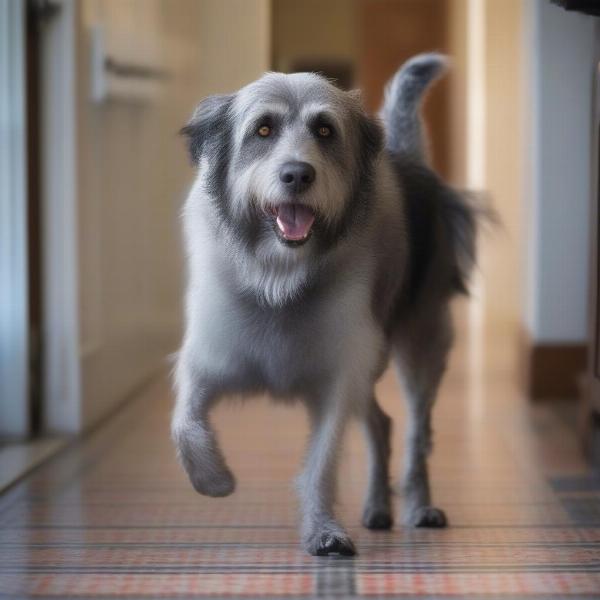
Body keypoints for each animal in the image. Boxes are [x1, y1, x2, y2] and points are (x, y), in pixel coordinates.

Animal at [171, 54, 476, 556]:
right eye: (263, 129)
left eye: (325, 130)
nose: (297, 174)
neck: (280, 277)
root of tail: (408, 159)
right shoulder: (209, 360)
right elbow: (185, 425)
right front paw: (215, 481)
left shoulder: (338, 378)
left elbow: (322, 462)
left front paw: (324, 531)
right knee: (381, 424)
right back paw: (377, 508)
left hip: (420, 345)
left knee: (416, 432)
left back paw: (418, 506)